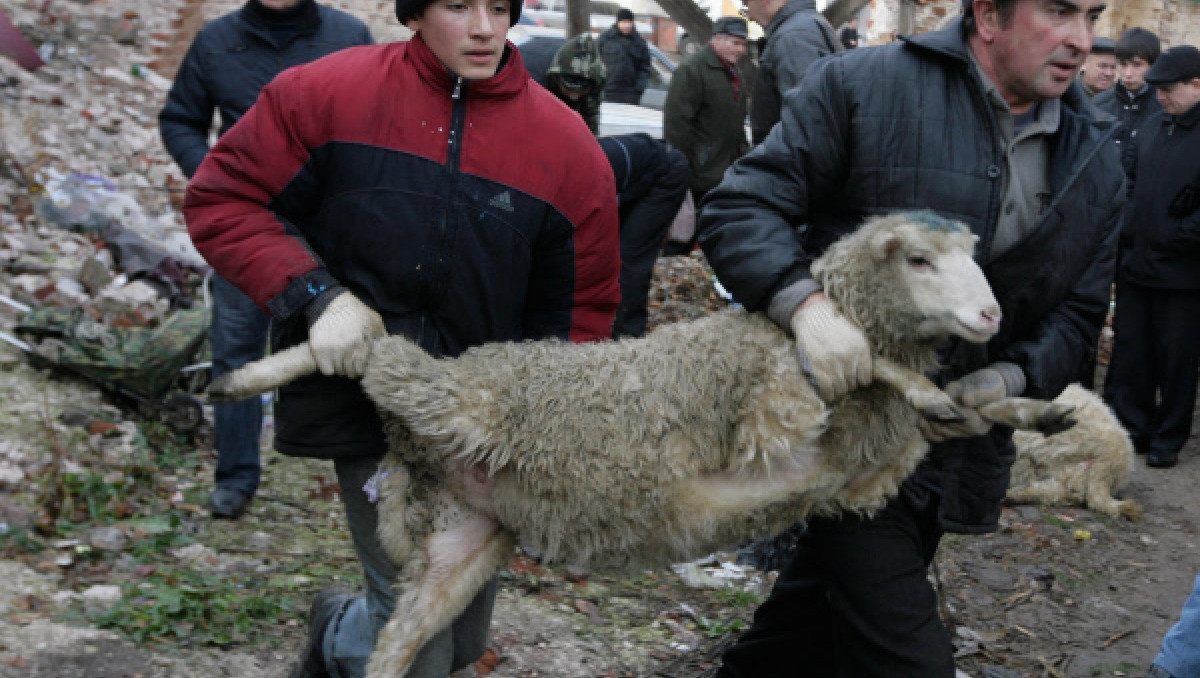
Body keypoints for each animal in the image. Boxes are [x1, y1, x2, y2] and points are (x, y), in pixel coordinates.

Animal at [208, 211, 1080, 676]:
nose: (991, 317)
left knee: (395, 644)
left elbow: (966, 409)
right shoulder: (782, 390)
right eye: (922, 260)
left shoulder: (876, 444)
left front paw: (1034, 411)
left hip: (461, 543)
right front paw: (931, 385)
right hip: (455, 399)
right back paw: (250, 374)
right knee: (378, 352)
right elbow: (880, 368)